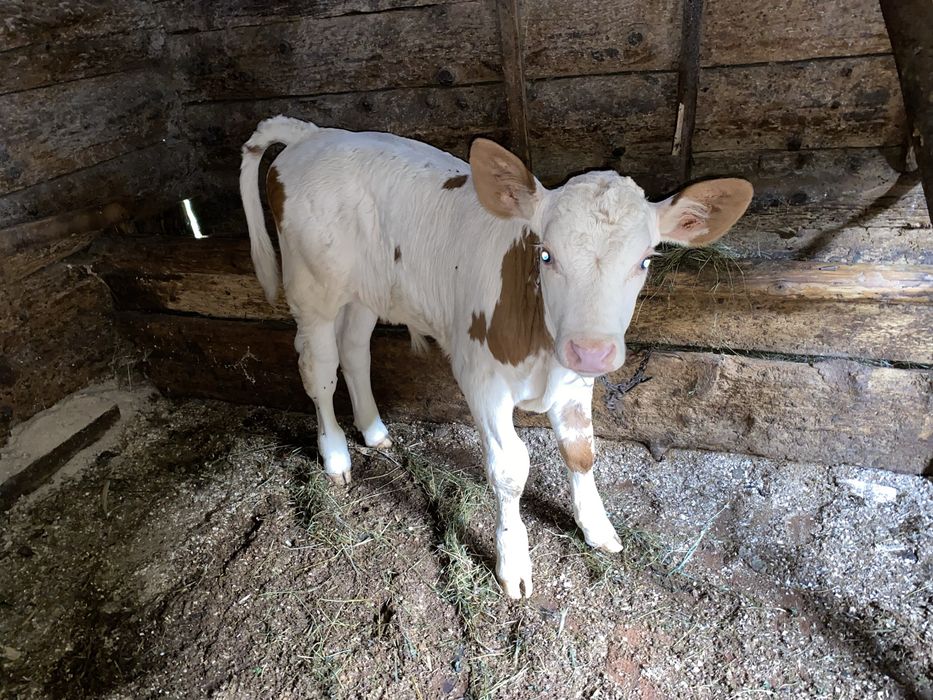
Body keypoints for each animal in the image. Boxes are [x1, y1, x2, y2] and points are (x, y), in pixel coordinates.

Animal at [239, 116, 753, 598]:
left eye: (645, 260)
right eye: (546, 255)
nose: (591, 350)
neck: (539, 345)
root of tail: (312, 134)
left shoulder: (574, 379)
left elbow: (581, 451)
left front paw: (597, 527)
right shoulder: (481, 378)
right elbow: (510, 470)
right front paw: (514, 563)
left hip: (368, 291)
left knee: (355, 351)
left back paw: (374, 430)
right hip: (312, 290)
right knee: (319, 371)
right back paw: (335, 455)